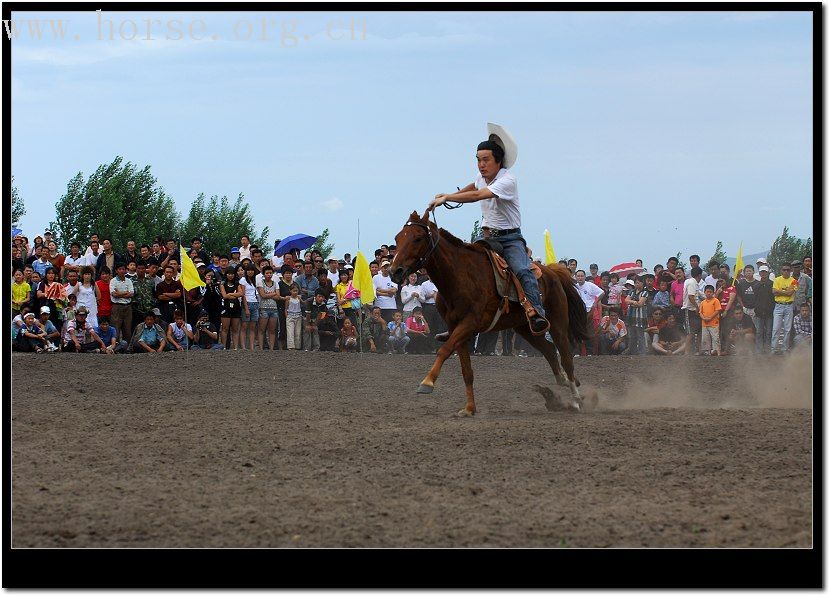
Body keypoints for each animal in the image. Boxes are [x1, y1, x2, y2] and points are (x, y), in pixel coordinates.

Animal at [394, 212, 596, 416]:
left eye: (418, 238)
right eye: (397, 238)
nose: (396, 271)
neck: (460, 276)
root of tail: (553, 272)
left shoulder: (470, 323)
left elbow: (444, 350)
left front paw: (427, 383)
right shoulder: (456, 327)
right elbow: (466, 371)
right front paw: (469, 408)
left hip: (557, 322)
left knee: (566, 358)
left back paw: (576, 400)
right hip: (524, 328)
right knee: (548, 350)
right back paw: (563, 383)